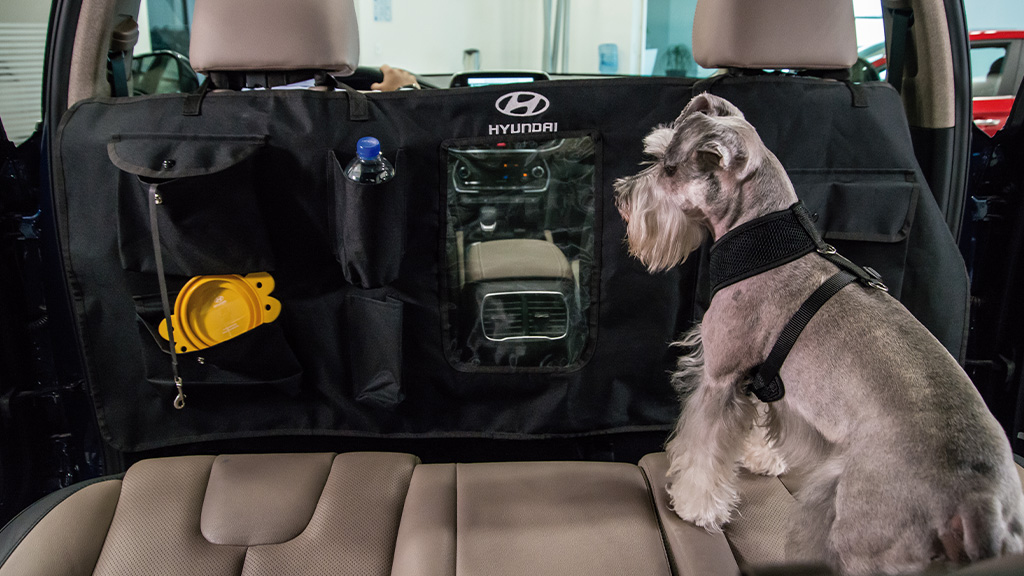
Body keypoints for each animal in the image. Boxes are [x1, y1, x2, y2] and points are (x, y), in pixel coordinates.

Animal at [610, 91, 1024, 569]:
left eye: (669, 168)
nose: (621, 196)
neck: (769, 241)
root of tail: (981, 502)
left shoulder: (720, 376)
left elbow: (704, 447)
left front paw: (695, 505)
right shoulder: (762, 380)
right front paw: (761, 459)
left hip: (859, 529)